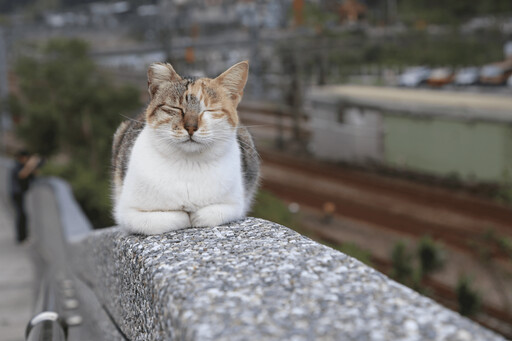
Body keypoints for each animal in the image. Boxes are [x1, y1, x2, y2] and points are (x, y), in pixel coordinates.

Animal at [110, 61, 258, 234]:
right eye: (176, 108)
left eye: (209, 110)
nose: (191, 127)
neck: (189, 163)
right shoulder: (128, 213)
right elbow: (175, 217)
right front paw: (184, 214)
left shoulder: (234, 206)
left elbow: (205, 214)